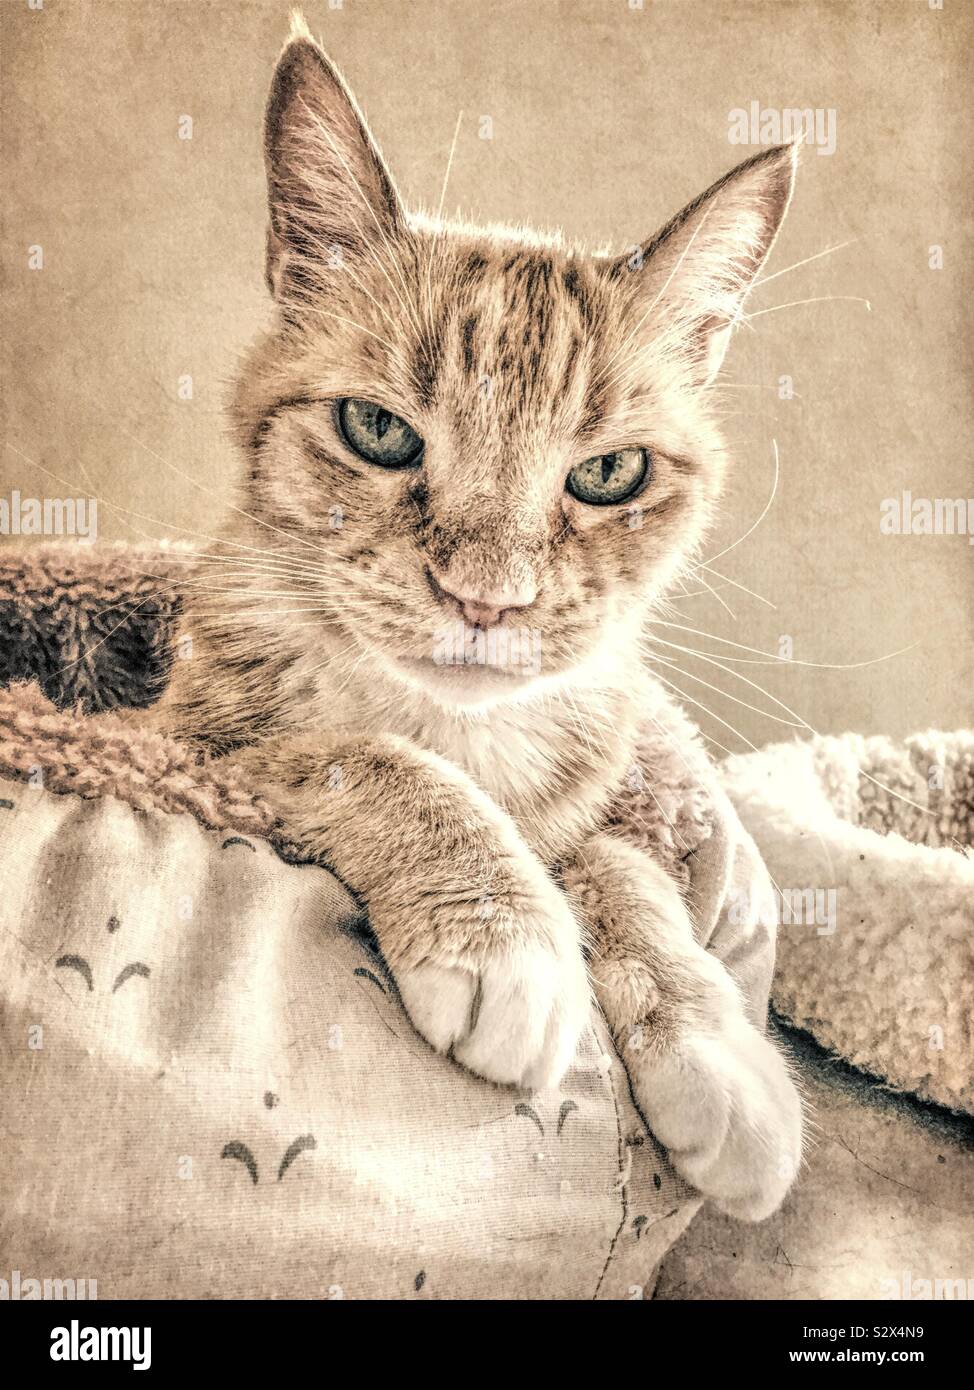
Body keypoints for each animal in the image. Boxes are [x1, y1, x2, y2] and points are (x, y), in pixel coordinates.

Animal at [144, 16, 800, 1223]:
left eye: (608, 473)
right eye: (376, 431)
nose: (486, 599)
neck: (467, 734)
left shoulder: (605, 803)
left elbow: (619, 866)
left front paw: (713, 1038)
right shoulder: (188, 749)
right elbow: (359, 753)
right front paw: (503, 926)